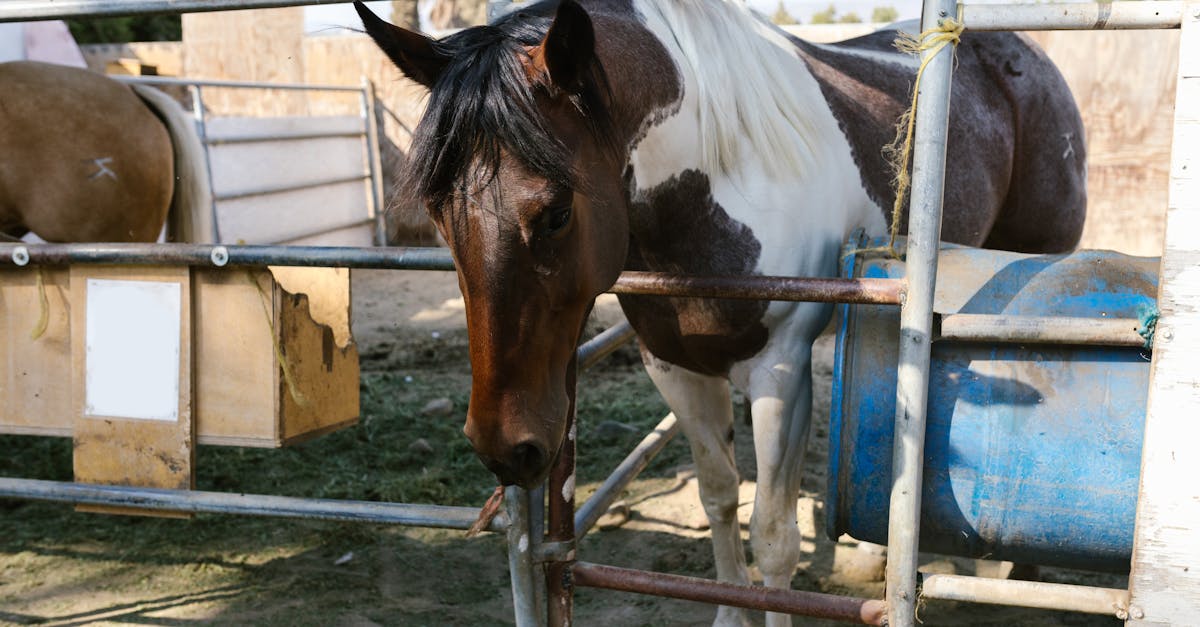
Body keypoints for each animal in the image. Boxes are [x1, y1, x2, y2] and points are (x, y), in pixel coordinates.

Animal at [356, 1, 1086, 624]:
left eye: (557, 212)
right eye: (438, 213)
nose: (506, 447)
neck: (720, 179)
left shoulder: (781, 373)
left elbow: (774, 530)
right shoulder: (674, 366)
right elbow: (718, 496)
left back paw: (1001, 569)